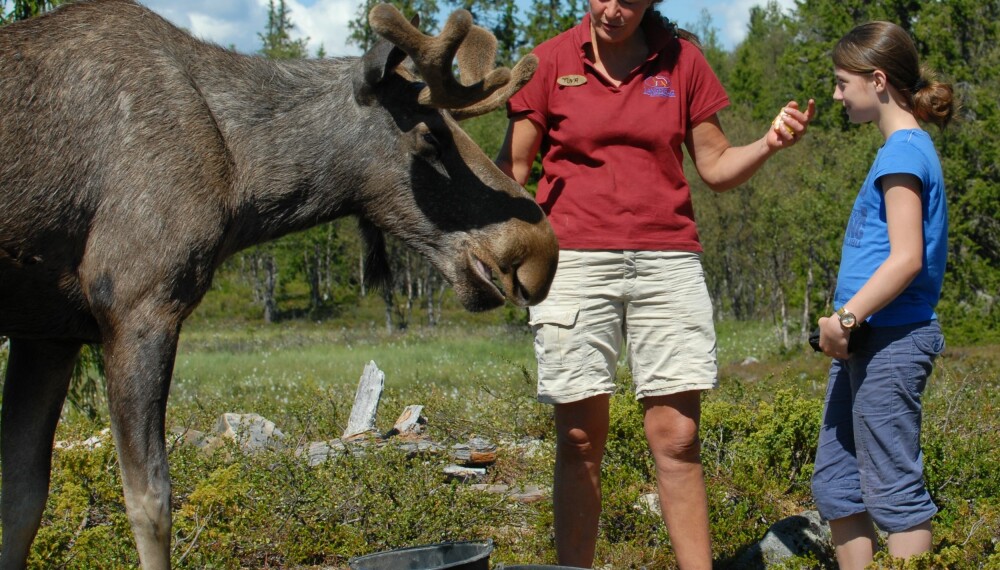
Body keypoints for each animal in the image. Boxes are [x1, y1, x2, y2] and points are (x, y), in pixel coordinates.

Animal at [0, 1, 560, 564]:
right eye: (431, 139)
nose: (540, 252)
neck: (241, 180)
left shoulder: (50, 333)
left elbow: (23, 501)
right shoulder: (138, 305)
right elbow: (150, 501)